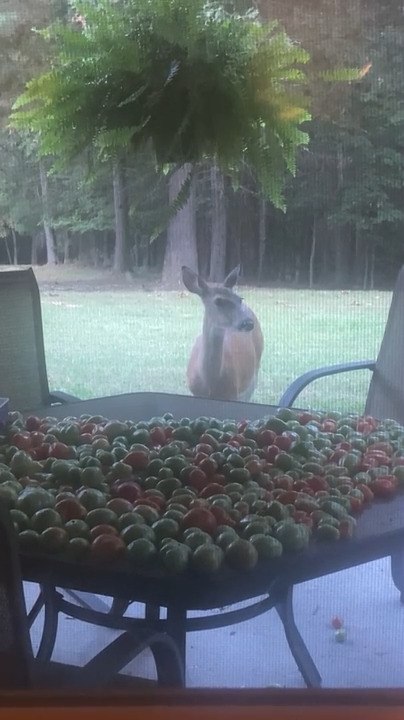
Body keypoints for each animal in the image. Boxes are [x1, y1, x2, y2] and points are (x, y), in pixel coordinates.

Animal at [181, 265, 264, 402]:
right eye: (218, 301)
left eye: (240, 299)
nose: (248, 322)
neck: (210, 384)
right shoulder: (195, 392)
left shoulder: (233, 392)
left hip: (254, 373)